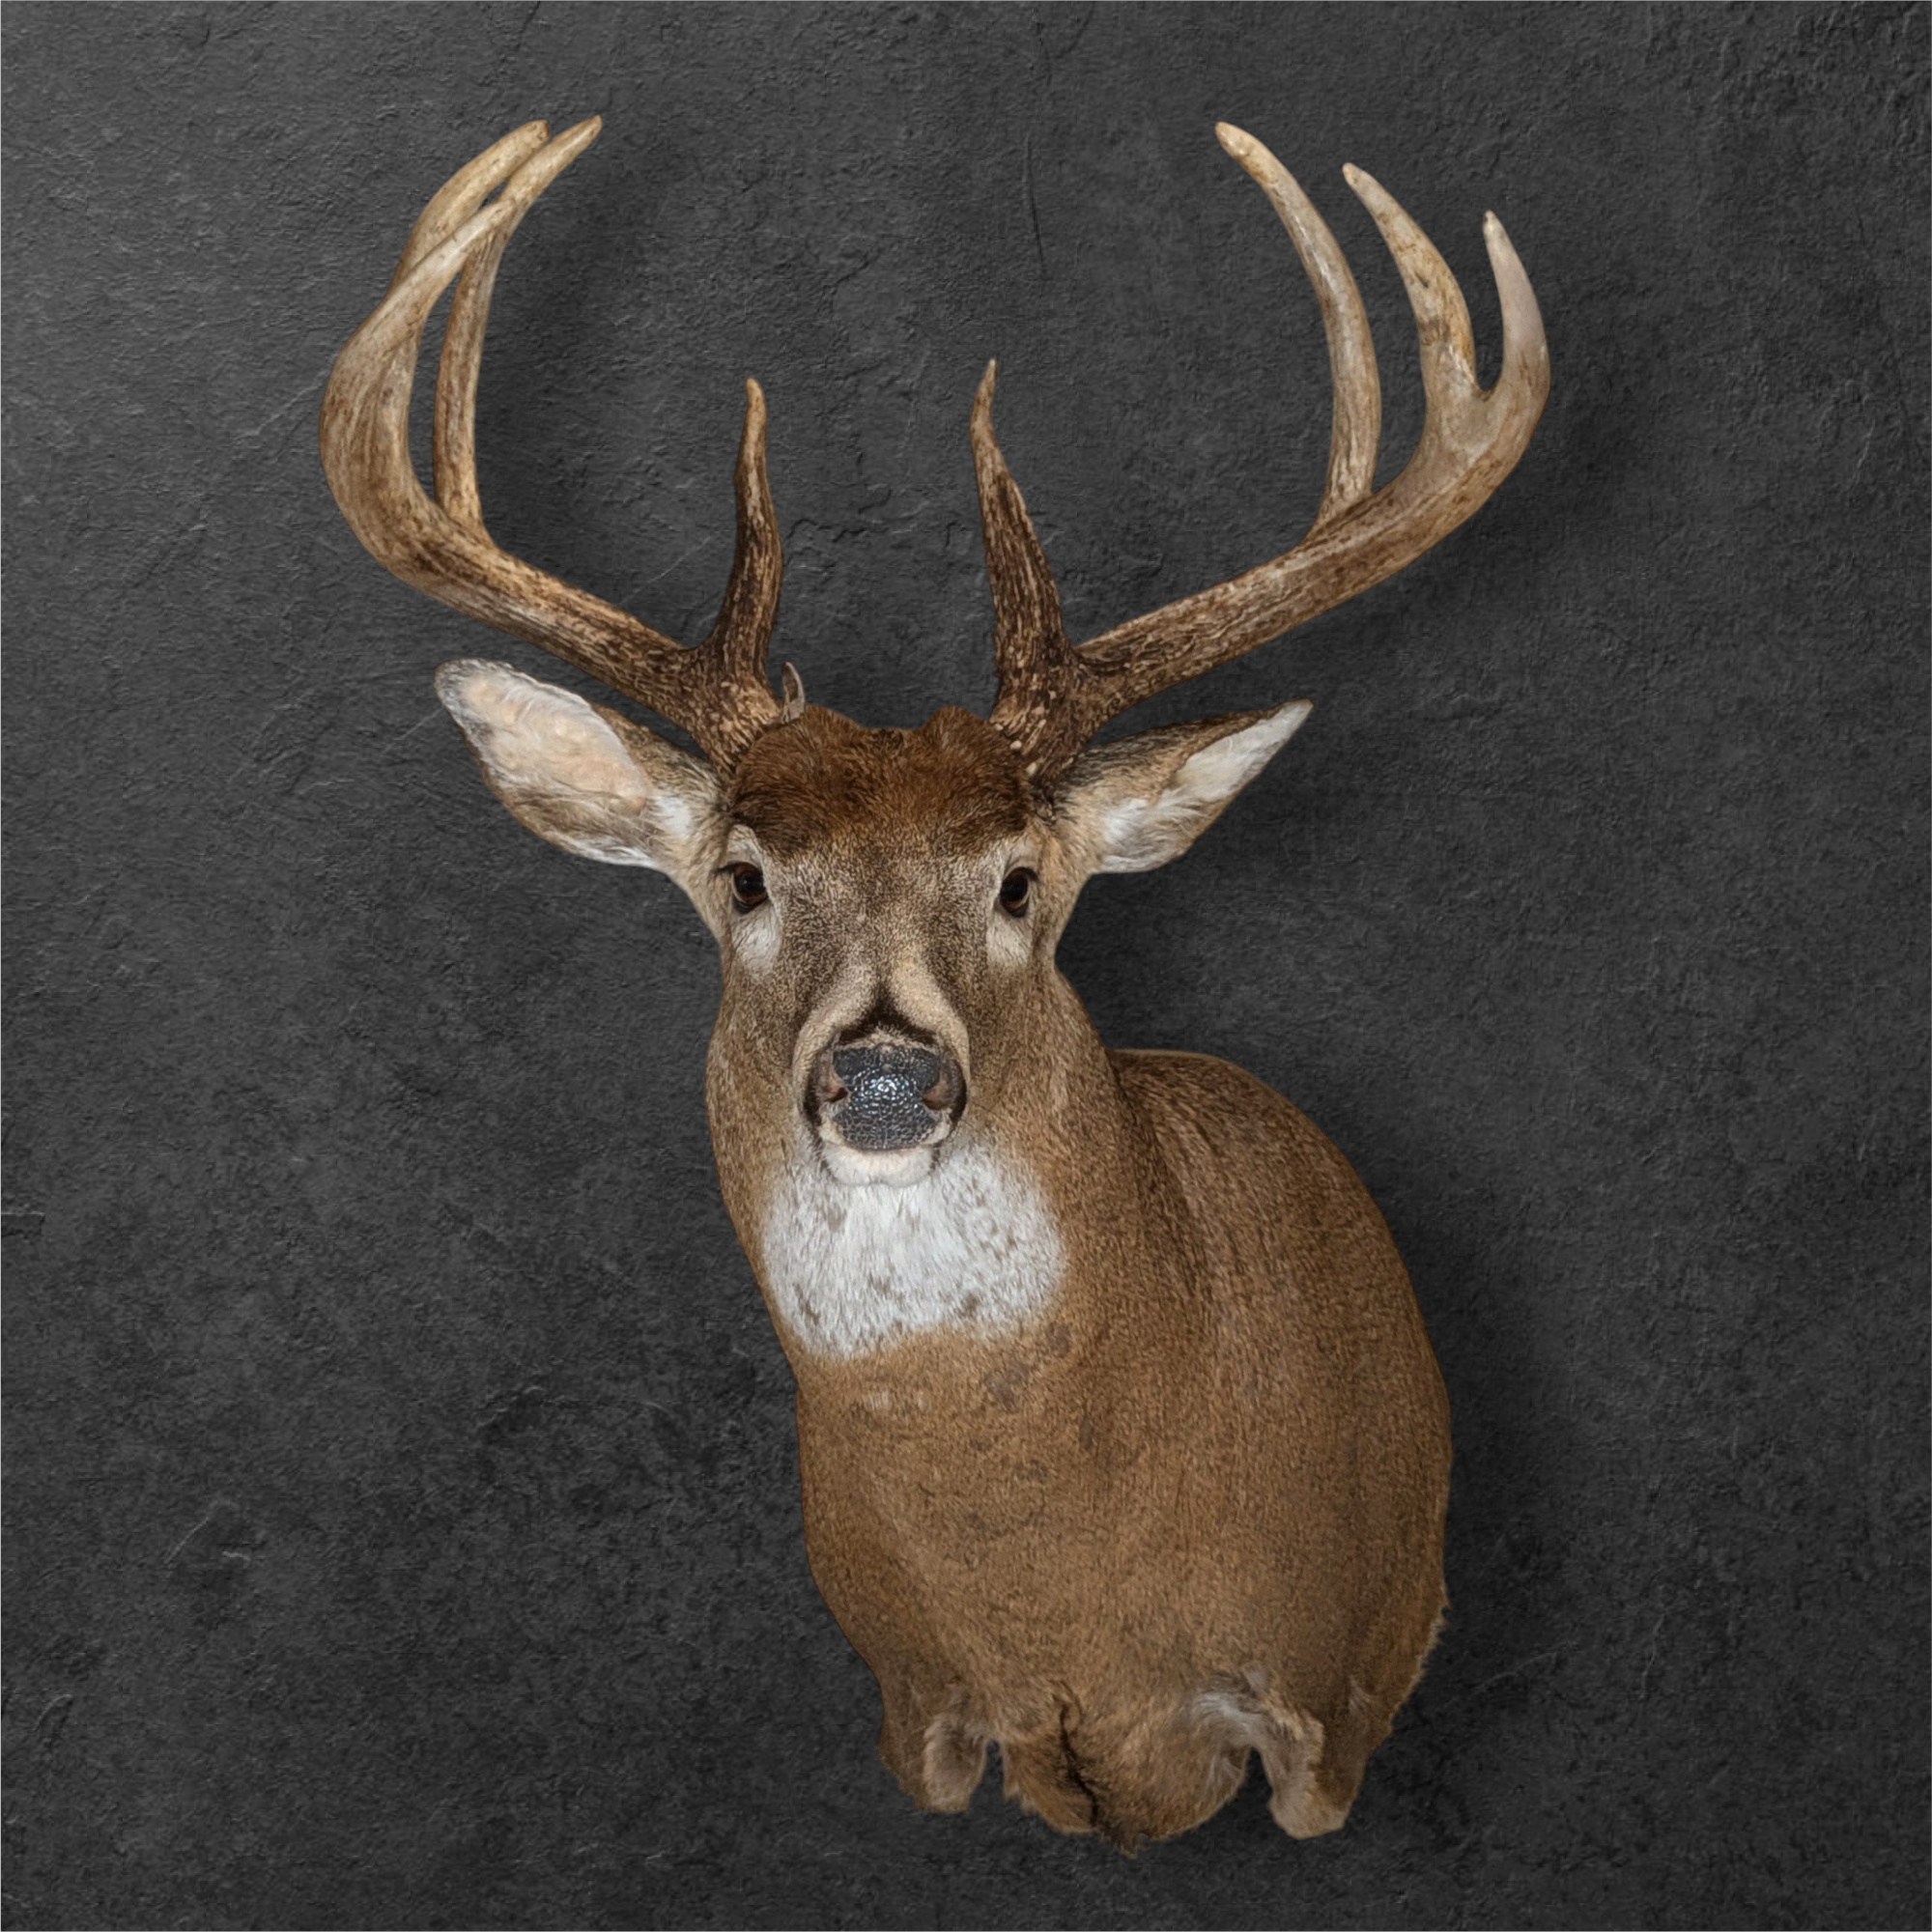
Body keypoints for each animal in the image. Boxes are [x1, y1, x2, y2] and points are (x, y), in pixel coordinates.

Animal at [320, 114, 1547, 1849]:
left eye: (1019, 878)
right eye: (746, 878)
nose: (887, 1073)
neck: (1065, 1606)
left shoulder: (1337, 1680)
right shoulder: (915, 1700)